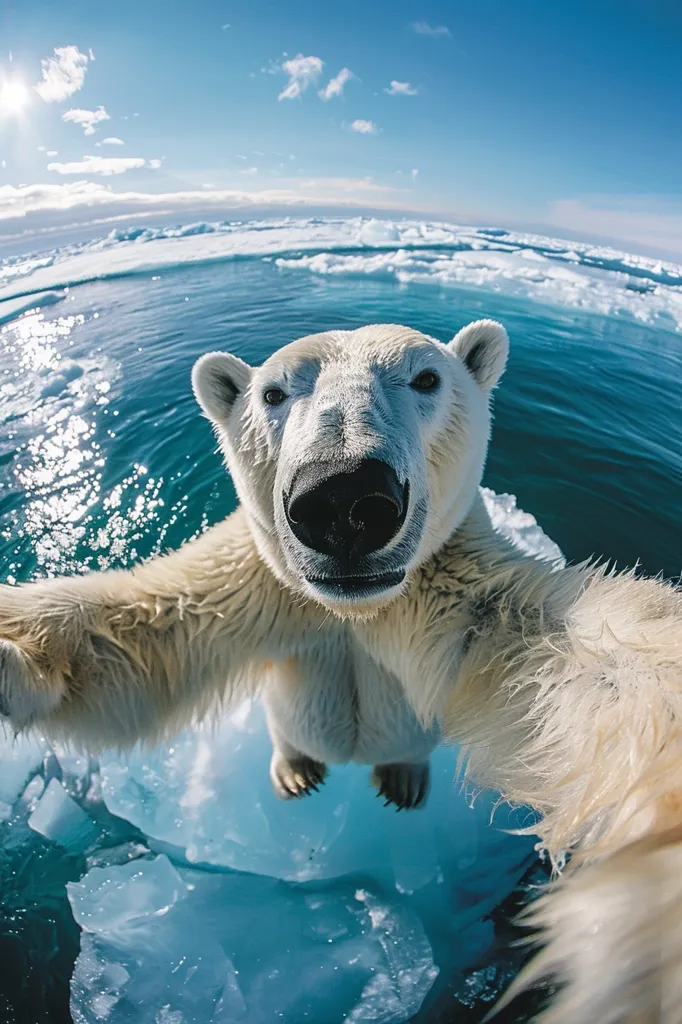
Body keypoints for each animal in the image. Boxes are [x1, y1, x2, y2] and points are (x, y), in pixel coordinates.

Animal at [1, 318, 681, 1023]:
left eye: (426, 377)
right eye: (273, 393)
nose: (343, 497)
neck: (354, 610)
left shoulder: (447, 582)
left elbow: (574, 655)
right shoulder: (260, 584)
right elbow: (140, 634)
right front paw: (13, 659)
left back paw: (400, 778)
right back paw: (296, 771)